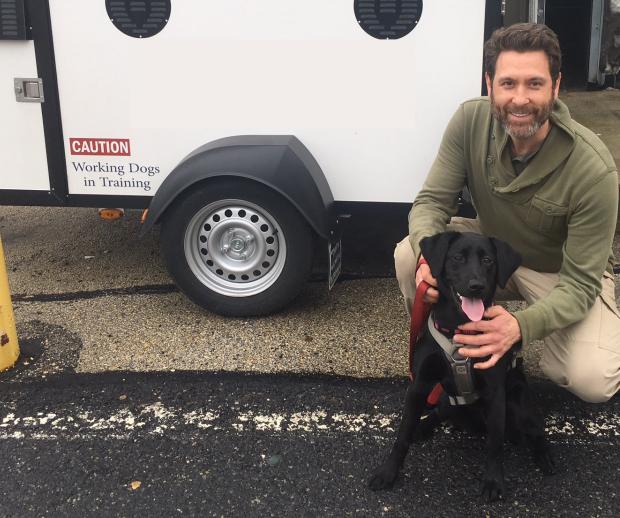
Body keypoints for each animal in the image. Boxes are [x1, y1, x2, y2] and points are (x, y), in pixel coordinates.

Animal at [370, 233, 556, 504]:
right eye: (457, 257)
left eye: (488, 260)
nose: (476, 285)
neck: (459, 329)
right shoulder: (419, 385)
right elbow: (402, 434)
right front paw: (388, 472)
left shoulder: (496, 394)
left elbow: (495, 444)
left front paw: (493, 481)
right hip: (445, 398)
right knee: (440, 412)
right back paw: (423, 427)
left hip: (518, 402)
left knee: (535, 430)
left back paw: (544, 456)